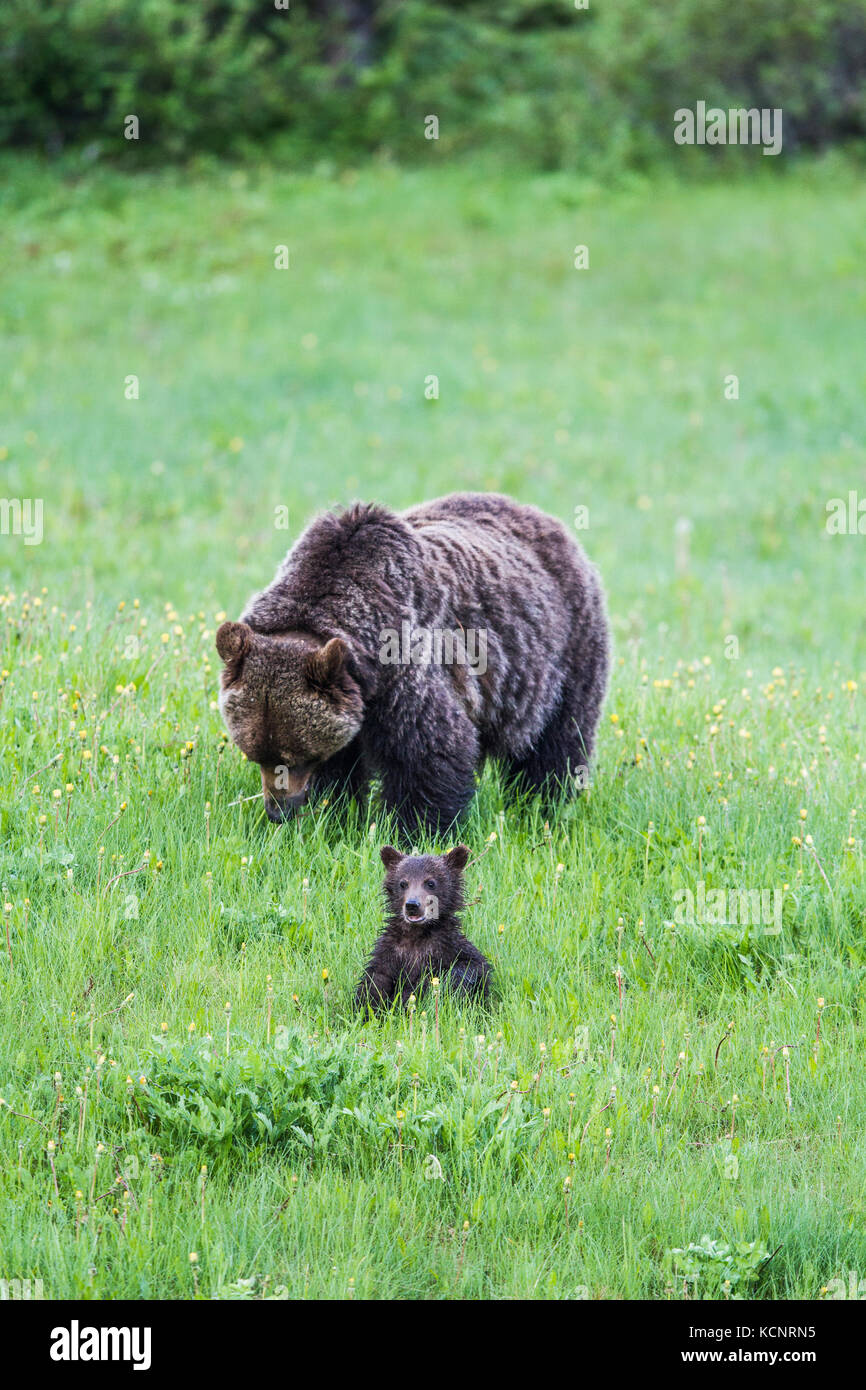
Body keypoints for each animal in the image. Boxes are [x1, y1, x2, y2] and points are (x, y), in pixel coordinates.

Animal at [215, 489, 608, 834]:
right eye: (256, 754)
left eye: (297, 755)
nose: (278, 810)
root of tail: (548, 521)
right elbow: (343, 768)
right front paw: (336, 817)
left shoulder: (403, 668)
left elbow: (430, 753)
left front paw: (416, 831)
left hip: (563, 652)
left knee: (556, 742)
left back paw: (541, 807)